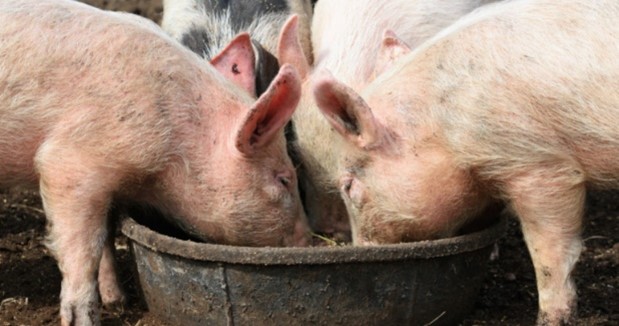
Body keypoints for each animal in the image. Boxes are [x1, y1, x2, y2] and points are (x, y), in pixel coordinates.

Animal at [310, 0, 619, 322]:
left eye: (348, 186)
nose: (360, 247)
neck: (441, 127)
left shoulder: (538, 163)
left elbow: (549, 251)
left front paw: (549, 320)